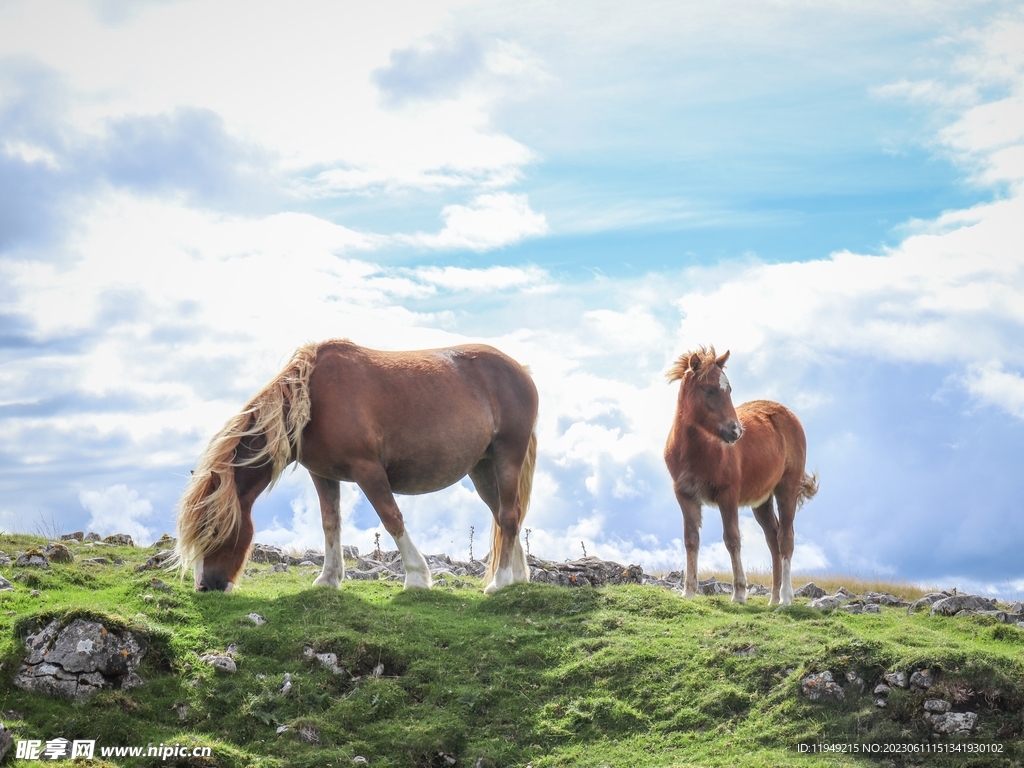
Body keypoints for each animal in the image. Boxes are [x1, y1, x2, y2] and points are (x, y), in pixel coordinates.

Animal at [175, 339, 538, 595]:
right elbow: (330, 524)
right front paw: (328, 579)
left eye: (213, 530)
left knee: (508, 515)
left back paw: (500, 582)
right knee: (505, 515)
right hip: (483, 468)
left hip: (507, 456)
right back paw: (518, 578)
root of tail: (521, 370)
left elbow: (391, 518)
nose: (206, 586)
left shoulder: (368, 470)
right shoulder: (322, 475)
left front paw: (417, 577)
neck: (313, 400)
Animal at [663, 347, 818, 606]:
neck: (697, 450)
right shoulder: (684, 495)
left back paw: (786, 598)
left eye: (729, 390)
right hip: (762, 501)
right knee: (773, 540)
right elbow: (691, 539)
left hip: (787, 488)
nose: (735, 431)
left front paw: (739, 593)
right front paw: (689, 591)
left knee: (786, 537)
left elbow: (732, 538)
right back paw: (773, 598)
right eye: (709, 389)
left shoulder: (728, 494)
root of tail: (789, 416)